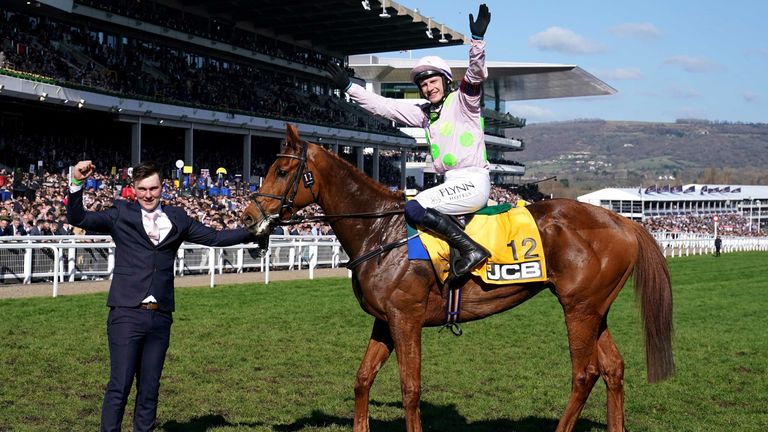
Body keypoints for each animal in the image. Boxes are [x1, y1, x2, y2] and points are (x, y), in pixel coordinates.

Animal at [244, 123, 672, 430]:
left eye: (281, 170)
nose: (248, 218)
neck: (380, 231)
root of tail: (621, 220)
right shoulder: (385, 321)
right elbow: (363, 378)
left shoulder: (406, 319)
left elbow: (410, 388)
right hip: (595, 309)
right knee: (613, 368)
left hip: (579, 309)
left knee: (584, 374)